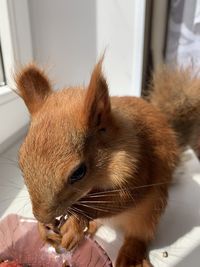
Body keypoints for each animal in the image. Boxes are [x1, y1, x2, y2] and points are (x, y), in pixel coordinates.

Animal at [14, 60, 198, 267]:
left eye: (78, 172)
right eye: (21, 162)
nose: (42, 216)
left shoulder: (140, 166)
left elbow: (124, 198)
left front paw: (75, 222)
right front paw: (42, 229)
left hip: (149, 213)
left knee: (139, 235)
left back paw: (130, 255)